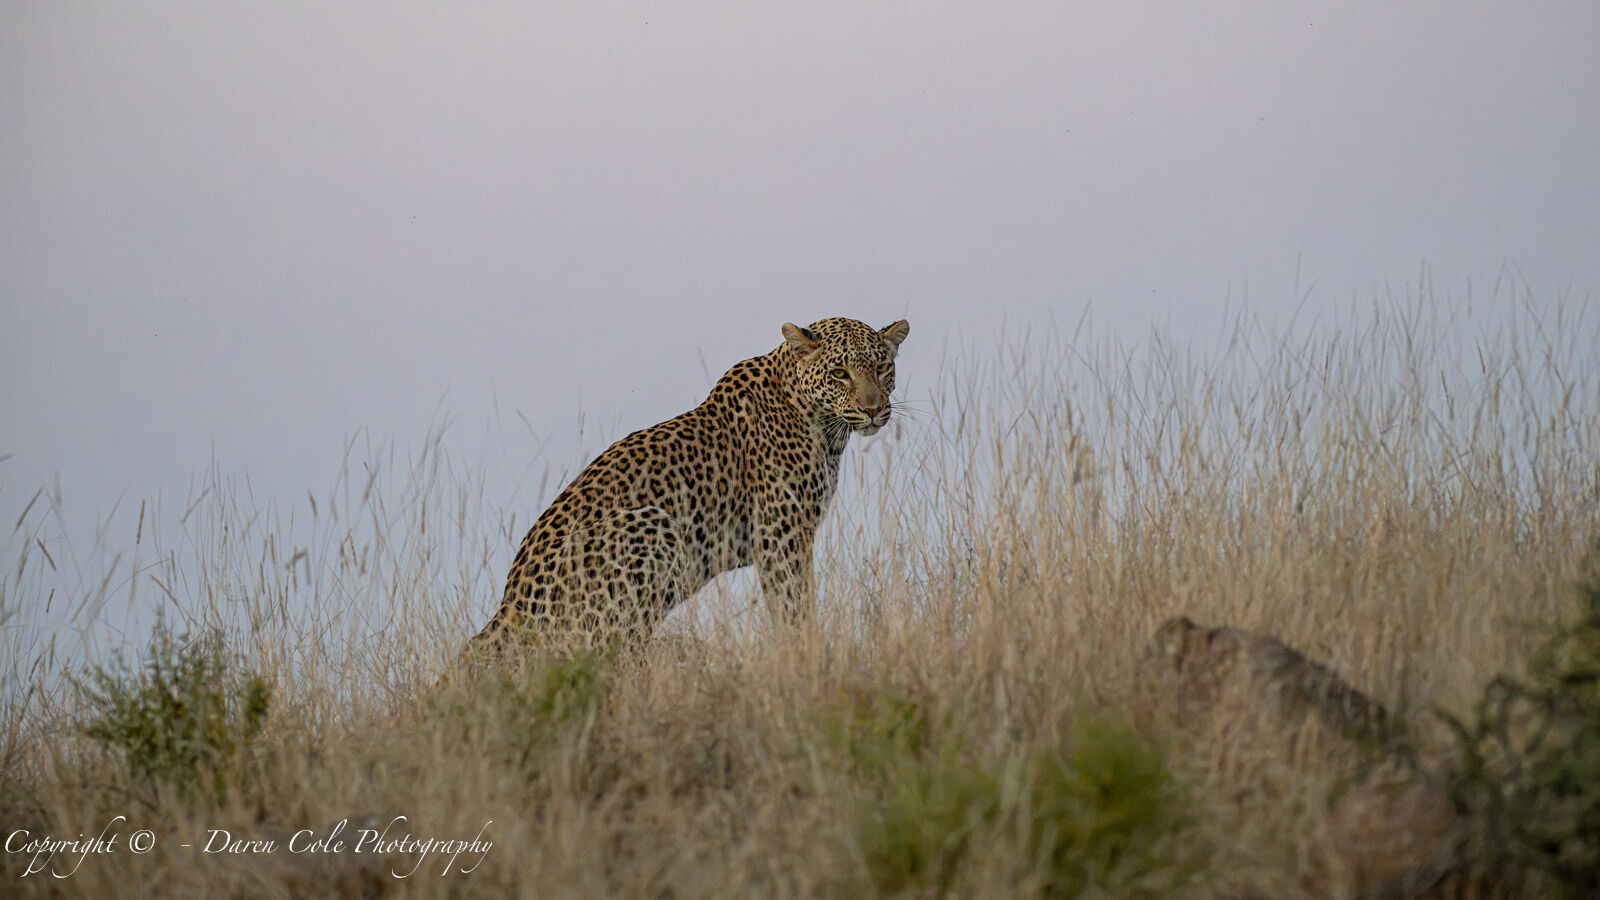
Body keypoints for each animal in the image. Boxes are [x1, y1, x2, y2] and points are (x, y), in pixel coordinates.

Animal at [467, 316, 910, 658]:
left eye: (882, 367)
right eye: (839, 373)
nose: (874, 409)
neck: (823, 426)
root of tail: (508, 609)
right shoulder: (780, 538)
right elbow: (793, 607)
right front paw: (805, 656)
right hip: (652, 526)